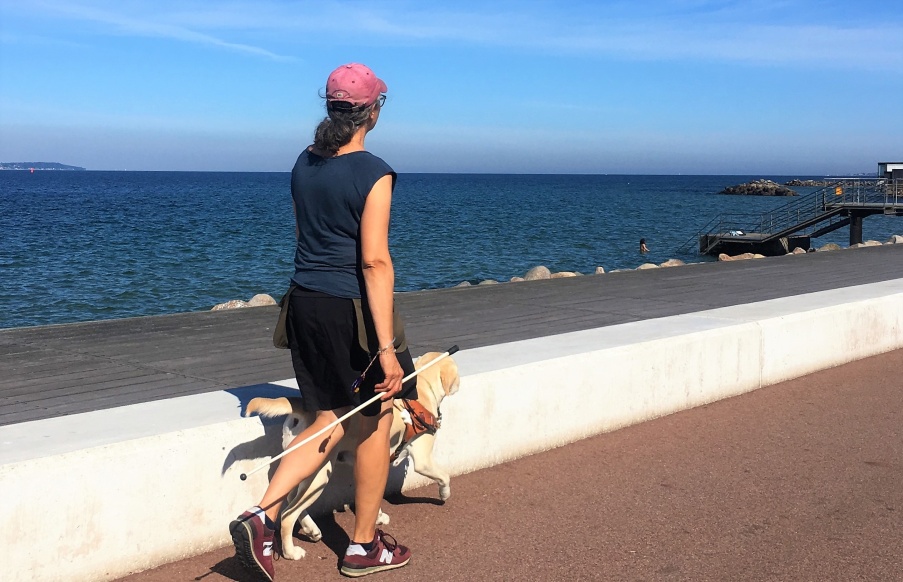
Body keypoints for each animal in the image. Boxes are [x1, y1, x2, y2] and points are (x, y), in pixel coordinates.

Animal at [244, 352, 460, 560]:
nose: (458, 384)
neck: (421, 385)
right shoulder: (423, 461)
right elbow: (444, 476)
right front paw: (444, 494)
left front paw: (378, 516)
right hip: (319, 476)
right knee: (288, 514)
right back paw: (291, 552)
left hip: (305, 471)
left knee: (289, 498)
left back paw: (311, 529)